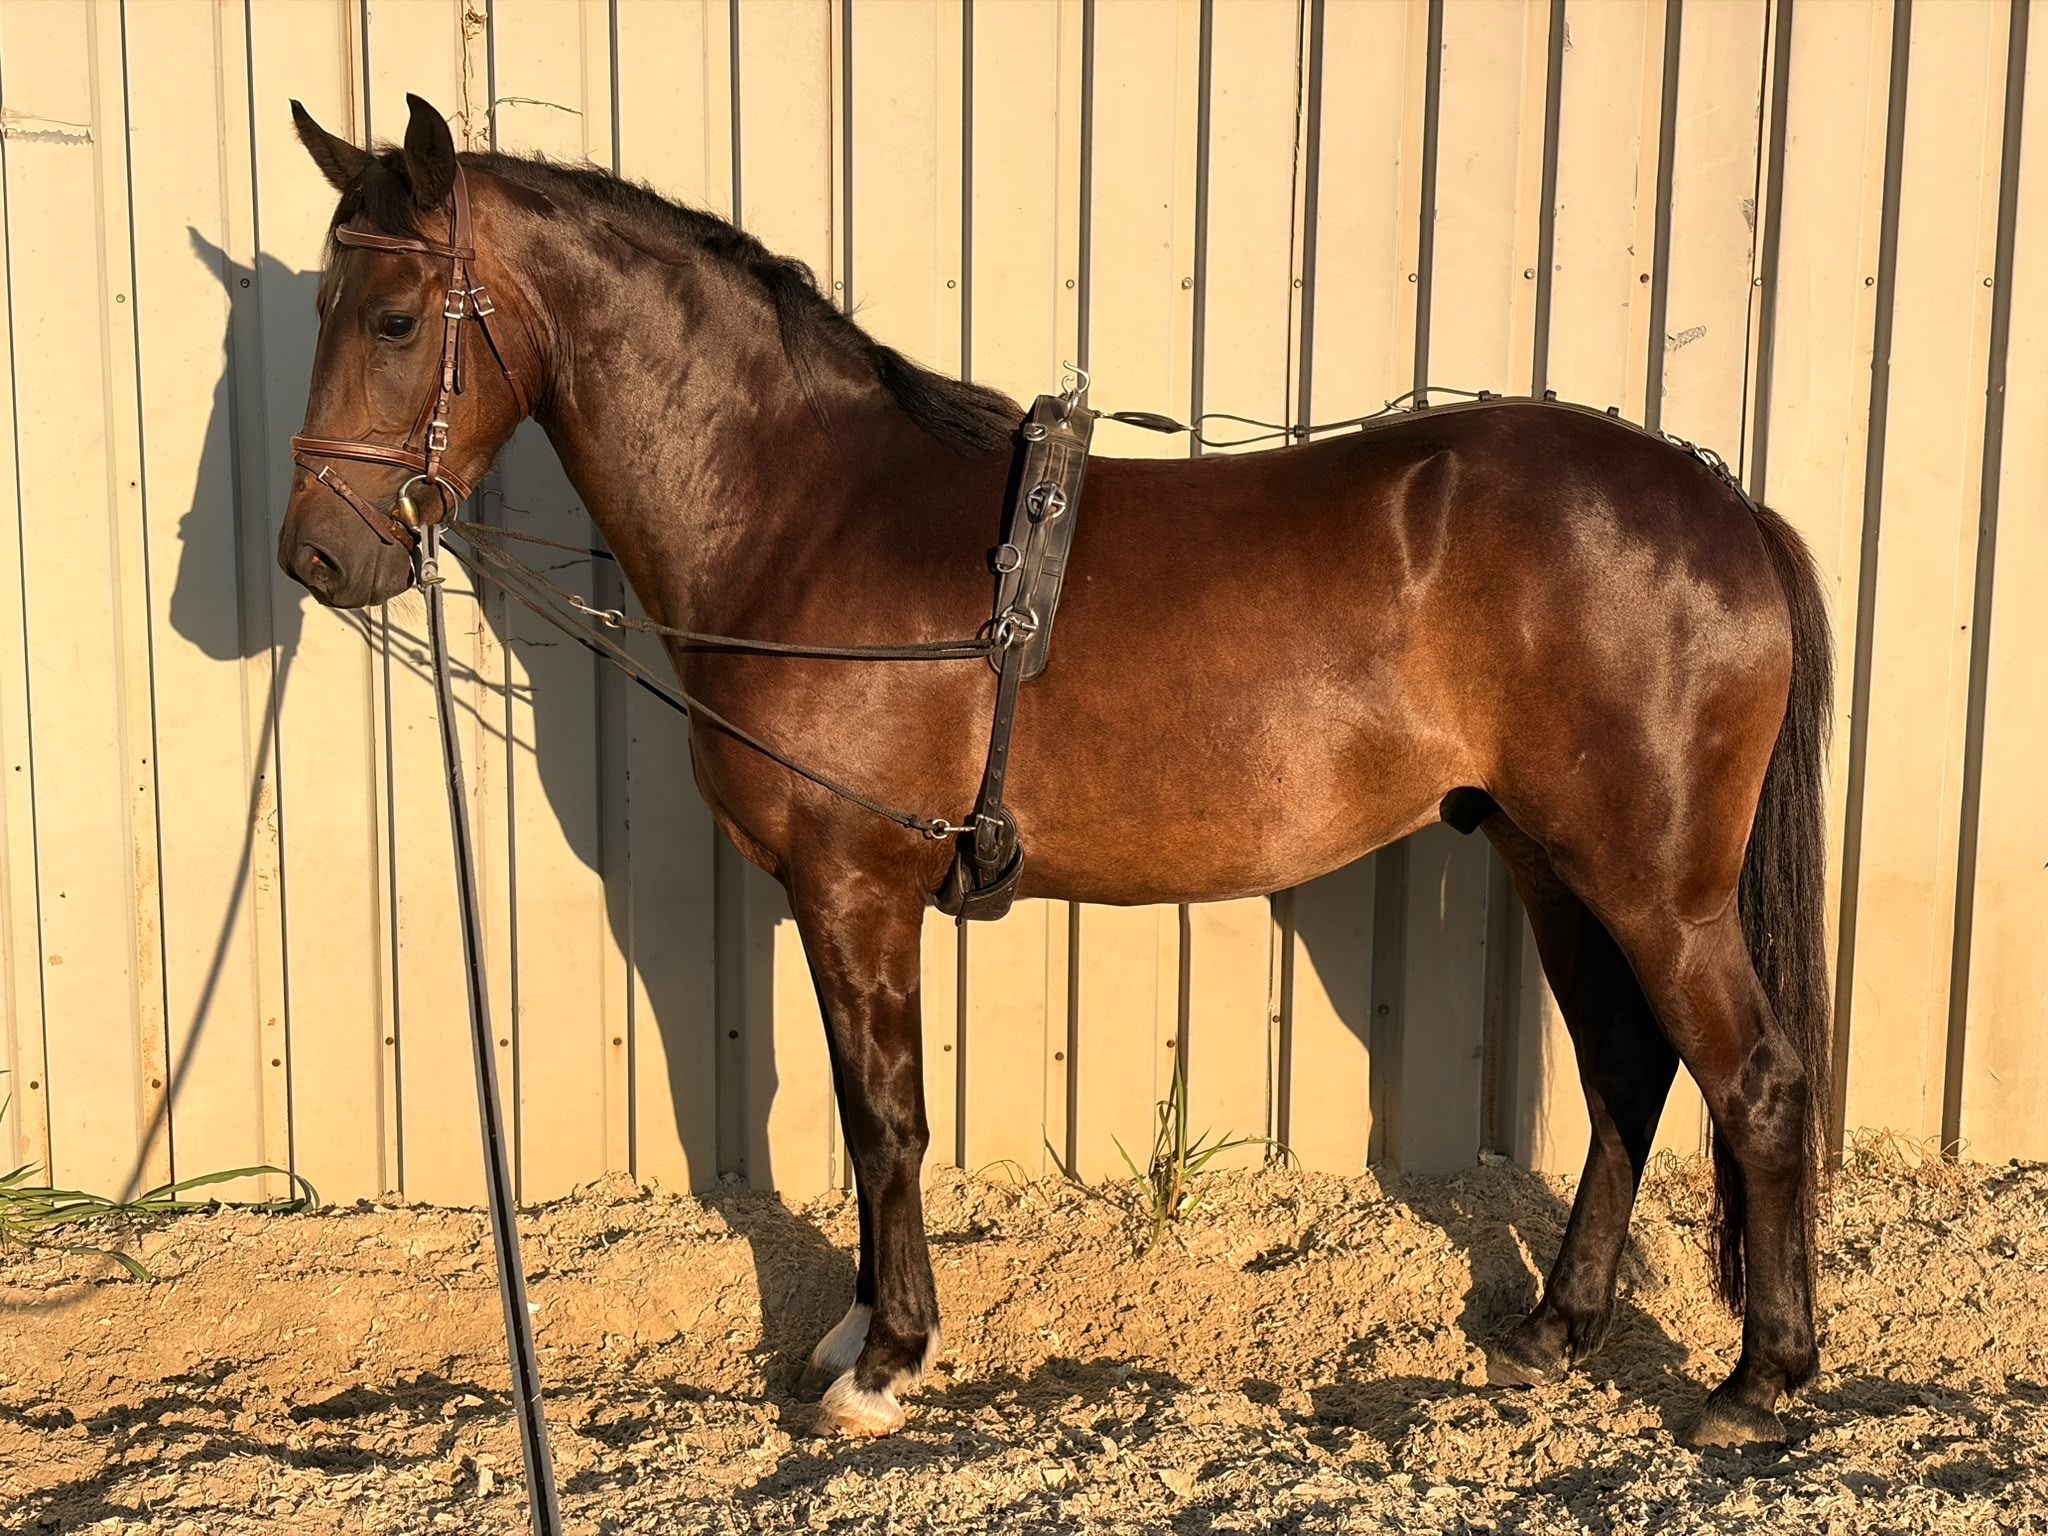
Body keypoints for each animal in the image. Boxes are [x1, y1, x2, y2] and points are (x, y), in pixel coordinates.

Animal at [278, 95, 1832, 1448]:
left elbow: (886, 1121)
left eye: (397, 317)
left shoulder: (855, 886)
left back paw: (1758, 1381)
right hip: (1549, 859)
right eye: (324, 307)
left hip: (1655, 886)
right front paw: (853, 1333)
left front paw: (886, 1362)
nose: (316, 555)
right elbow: (855, 1110)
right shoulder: (831, 896)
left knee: (1752, 1081)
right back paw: (1554, 1331)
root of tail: (1721, 503)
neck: (804, 511)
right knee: (1627, 1075)